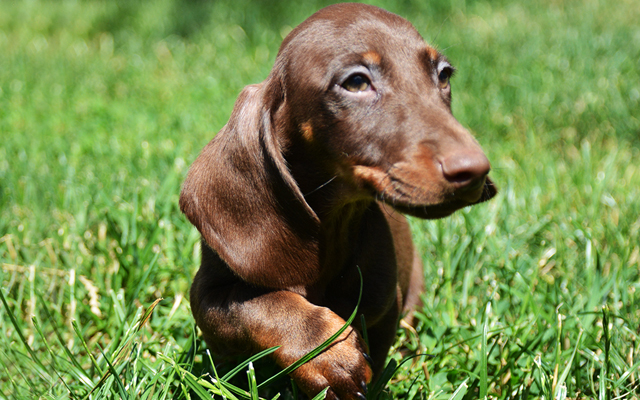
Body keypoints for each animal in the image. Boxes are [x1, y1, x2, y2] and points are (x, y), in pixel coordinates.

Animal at [179, 3, 496, 400]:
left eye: (444, 75)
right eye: (356, 82)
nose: (476, 170)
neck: (336, 221)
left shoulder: (384, 303)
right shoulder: (208, 296)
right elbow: (259, 304)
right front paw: (327, 354)